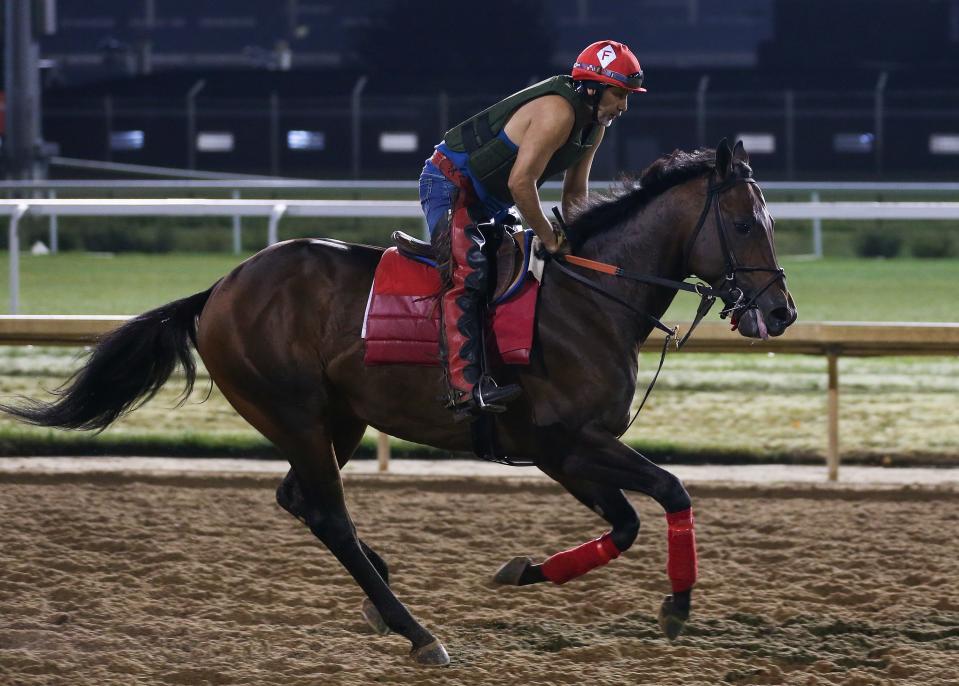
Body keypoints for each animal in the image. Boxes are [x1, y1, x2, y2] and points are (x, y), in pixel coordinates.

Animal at [1, 138, 796, 668]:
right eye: (745, 223)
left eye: (768, 221)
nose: (781, 311)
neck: (591, 295)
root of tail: (219, 288)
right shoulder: (568, 439)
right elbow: (671, 488)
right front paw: (677, 606)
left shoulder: (563, 450)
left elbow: (628, 521)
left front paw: (525, 570)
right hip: (295, 412)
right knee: (327, 512)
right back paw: (415, 630)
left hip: (339, 419)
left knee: (300, 500)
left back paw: (382, 592)